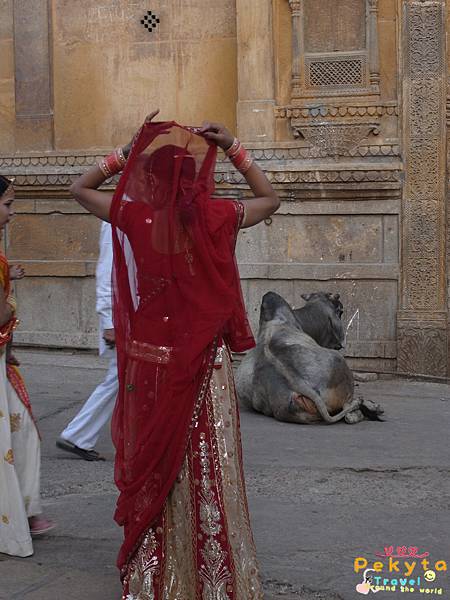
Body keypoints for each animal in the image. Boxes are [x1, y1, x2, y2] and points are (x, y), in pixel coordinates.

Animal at [236, 292, 384, 424]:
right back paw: (369, 407)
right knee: (348, 412)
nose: (340, 343)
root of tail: (299, 383)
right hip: (340, 364)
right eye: (340, 312)